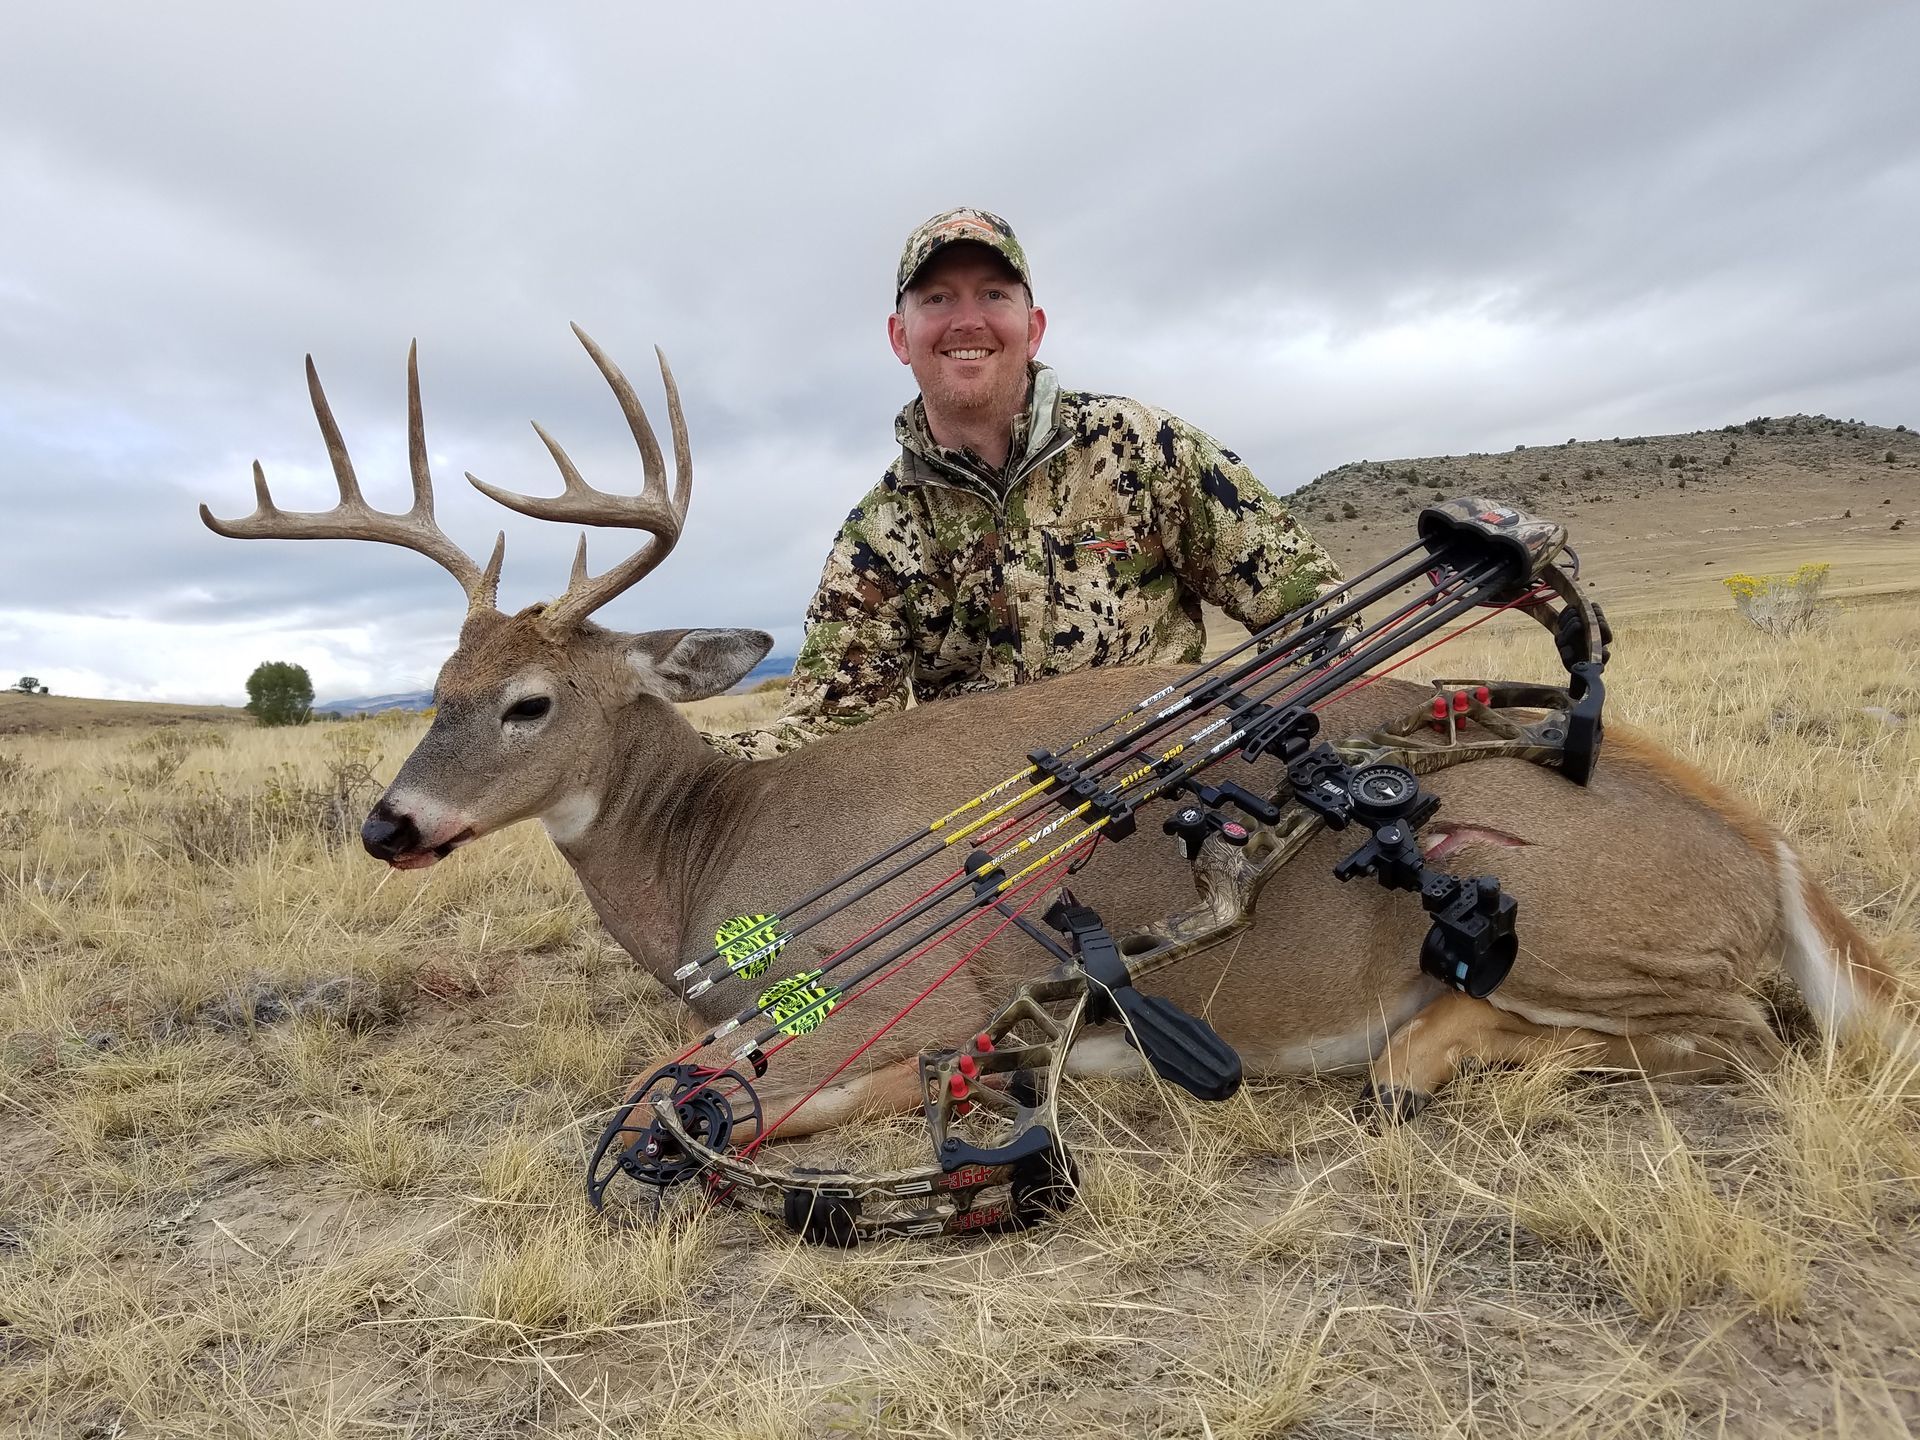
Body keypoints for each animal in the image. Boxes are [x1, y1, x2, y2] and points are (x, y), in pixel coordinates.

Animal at [202, 328, 1908, 1145]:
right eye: (433, 677)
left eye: (531, 702)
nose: (389, 824)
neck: (713, 871)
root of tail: (1776, 854)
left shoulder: (893, 997)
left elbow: (732, 1088)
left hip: (1562, 913)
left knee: (1740, 1032)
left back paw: (1411, 1053)